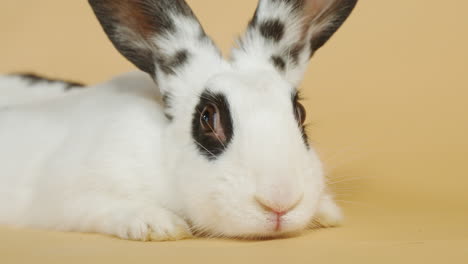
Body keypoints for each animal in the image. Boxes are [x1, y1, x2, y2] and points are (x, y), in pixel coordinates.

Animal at [0, 0, 358, 240]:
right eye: (207, 118)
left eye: (300, 113)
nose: (281, 202)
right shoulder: (69, 197)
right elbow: (100, 207)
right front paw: (159, 225)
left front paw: (326, 210)